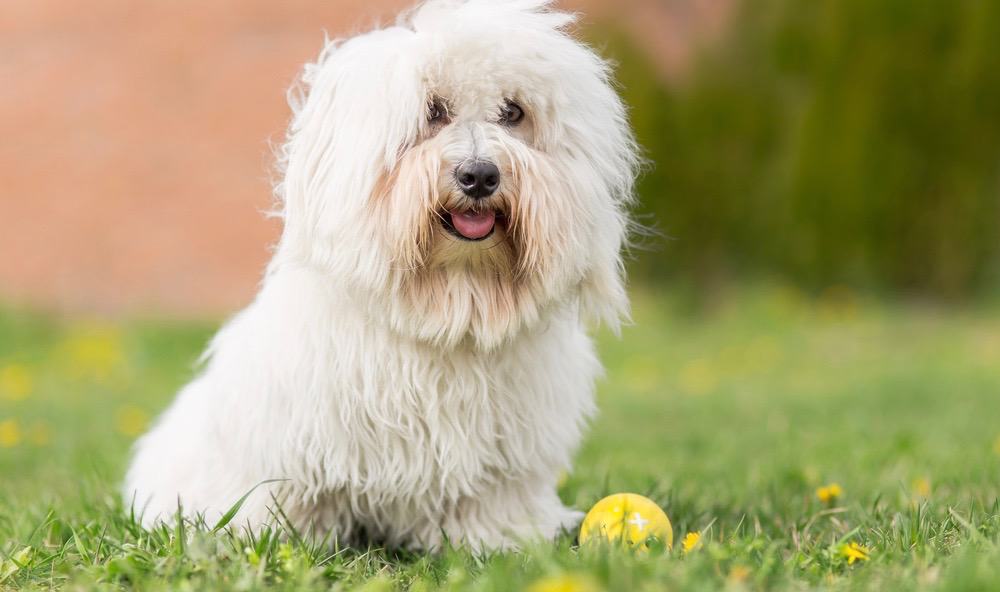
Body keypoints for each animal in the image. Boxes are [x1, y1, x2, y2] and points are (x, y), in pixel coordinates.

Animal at [125, 0, 636, 552]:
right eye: (433, 111)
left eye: (513, 112)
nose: (479, 175)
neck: (450, 302)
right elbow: (285, 495)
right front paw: (268, 536)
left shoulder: (502, 454)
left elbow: (486, 501)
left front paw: (497, 539)